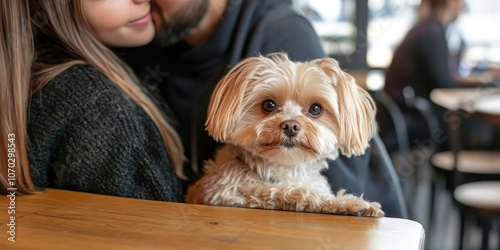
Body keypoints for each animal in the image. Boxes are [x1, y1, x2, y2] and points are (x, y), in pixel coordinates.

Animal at [186, 52, 384, 217]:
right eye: (269, 105)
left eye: (316, 109)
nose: (290, 125)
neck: (286, 170)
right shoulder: (228, 192)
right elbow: (285, 191)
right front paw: (346, 203)